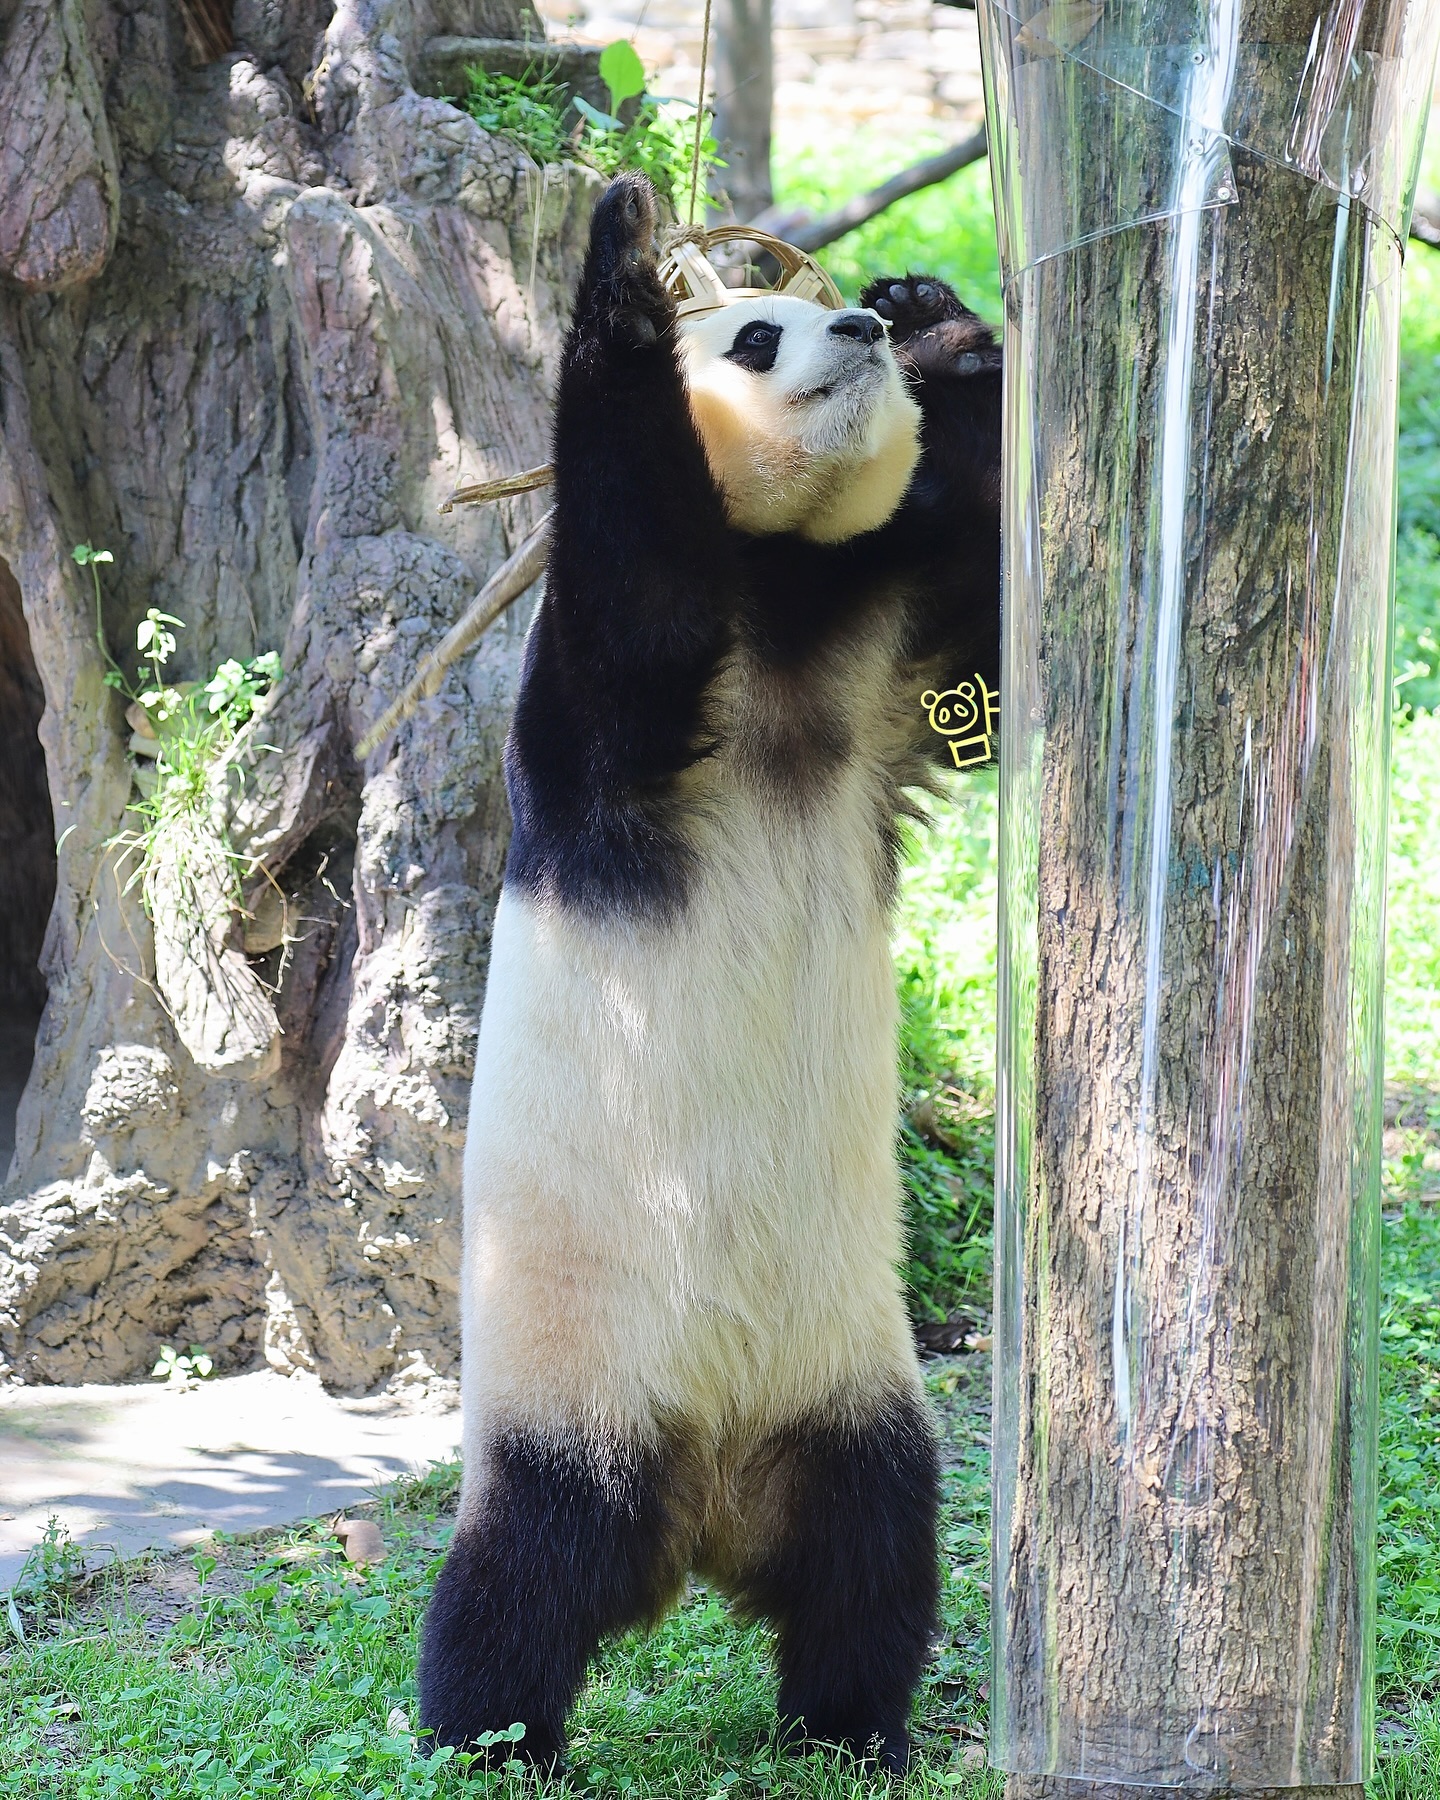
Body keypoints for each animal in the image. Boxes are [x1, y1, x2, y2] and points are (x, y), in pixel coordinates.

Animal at [415, 169, 1000, 1771]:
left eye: (840, 317)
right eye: (752, 333)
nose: (858, 329)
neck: (782, 577)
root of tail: (706, 1497)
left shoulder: (881, 668)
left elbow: (986, 617)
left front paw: (947, 321)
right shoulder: (595, 711)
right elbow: (636, 586)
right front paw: (619, 265)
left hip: (853, 1378)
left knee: (878, 1548)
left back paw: (852, 1731)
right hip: (573, 1377)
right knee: (517, 1581)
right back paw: (491, 1743)